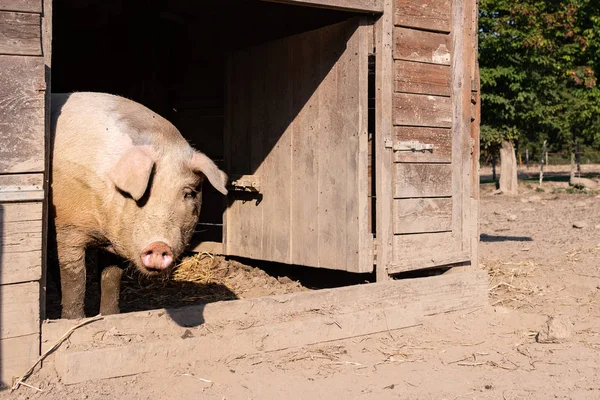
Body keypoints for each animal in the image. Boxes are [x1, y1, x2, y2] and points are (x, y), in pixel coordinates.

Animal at [48, 90, 227, 318]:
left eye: (187, 193)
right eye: (144, 192)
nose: (159, 246)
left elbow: (111, 277)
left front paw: (110, 315)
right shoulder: (67, 227)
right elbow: (75, 279)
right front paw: (74, 320)